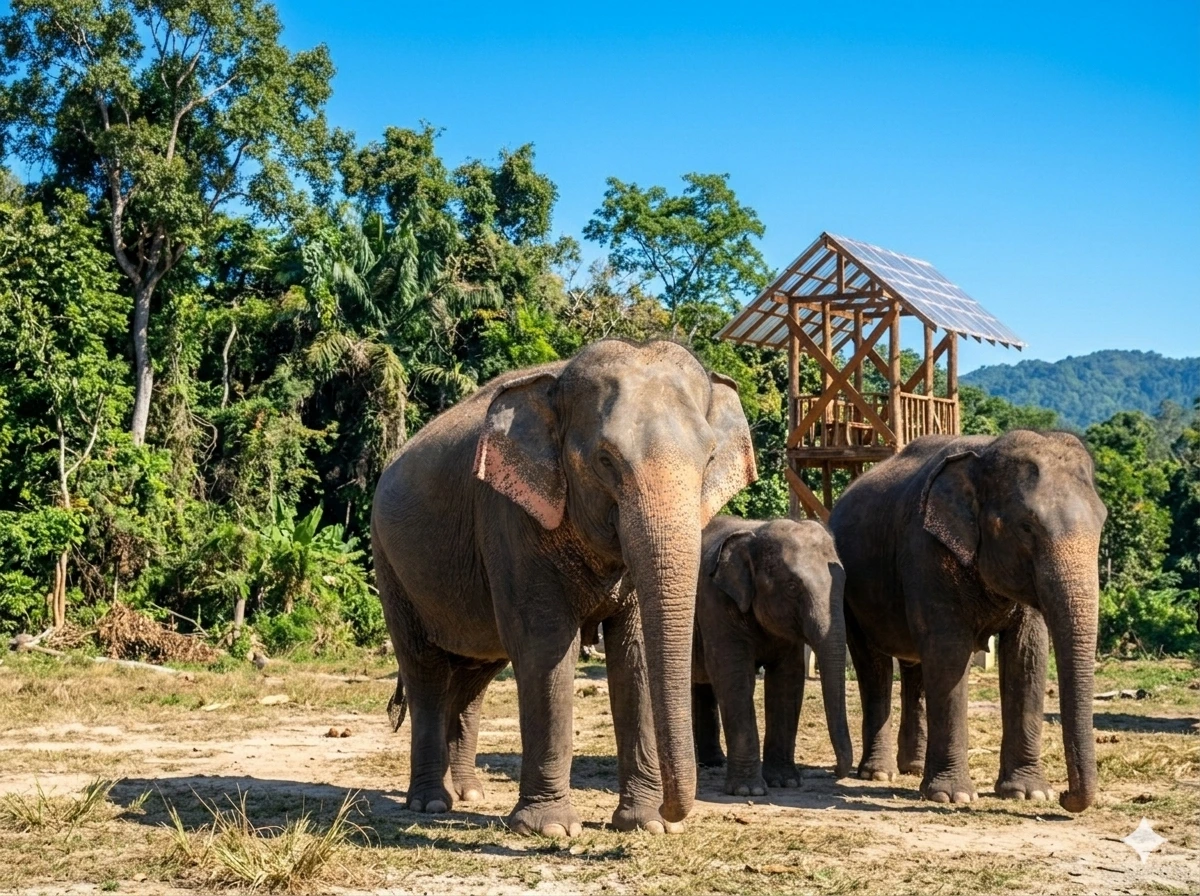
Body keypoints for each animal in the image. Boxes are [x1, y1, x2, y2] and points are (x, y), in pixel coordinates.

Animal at [371, 339, 757, 837]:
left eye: (709, 458)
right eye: (605, 461)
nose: (675, 814)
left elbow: (633, 652)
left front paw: (646, 824)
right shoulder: (510, 515)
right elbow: (546, 645)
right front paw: (550, 829)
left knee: (476, 676)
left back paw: (470, 795)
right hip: (391, 565)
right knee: (426, 672)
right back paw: (430, 804)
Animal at [691, 515, 853, 796]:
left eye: (843, 584)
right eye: (792, 586)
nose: (836, 770)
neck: (755, 532)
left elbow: (788, 681)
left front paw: (786, 782)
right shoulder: (715, 603)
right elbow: (733, 676)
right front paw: (748, 791)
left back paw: (713, 763)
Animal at [828, 430, 1107, 812]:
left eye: (1102, 523)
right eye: (1026, 527)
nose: (1066, 796)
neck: (983, 454)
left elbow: (1027, 655)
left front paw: (1029, 793)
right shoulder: (926, 550)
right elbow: (949, 652)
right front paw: (952, 796)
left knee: (915, 666)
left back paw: (913, 768)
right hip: (848, 593)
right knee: (874, 666)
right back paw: (878, 774)